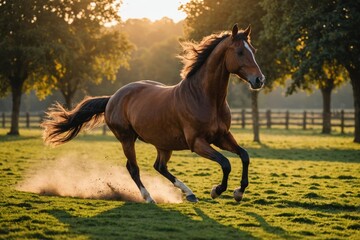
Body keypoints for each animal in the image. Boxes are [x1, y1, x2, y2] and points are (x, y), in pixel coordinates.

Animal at [42, 24, 266, 203]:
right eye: (240, 52)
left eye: (254, 50)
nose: (259, 80)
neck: (205, 98)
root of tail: (113, 97)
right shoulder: (197, 143)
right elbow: (226, 163)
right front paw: (217, 190)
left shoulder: (222, 136)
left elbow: (244, 156)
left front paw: (238, 192)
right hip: (127, 139)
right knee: (134, 168)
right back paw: (149, 197)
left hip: (163, 144)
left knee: (160, 166)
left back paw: (189, 194)